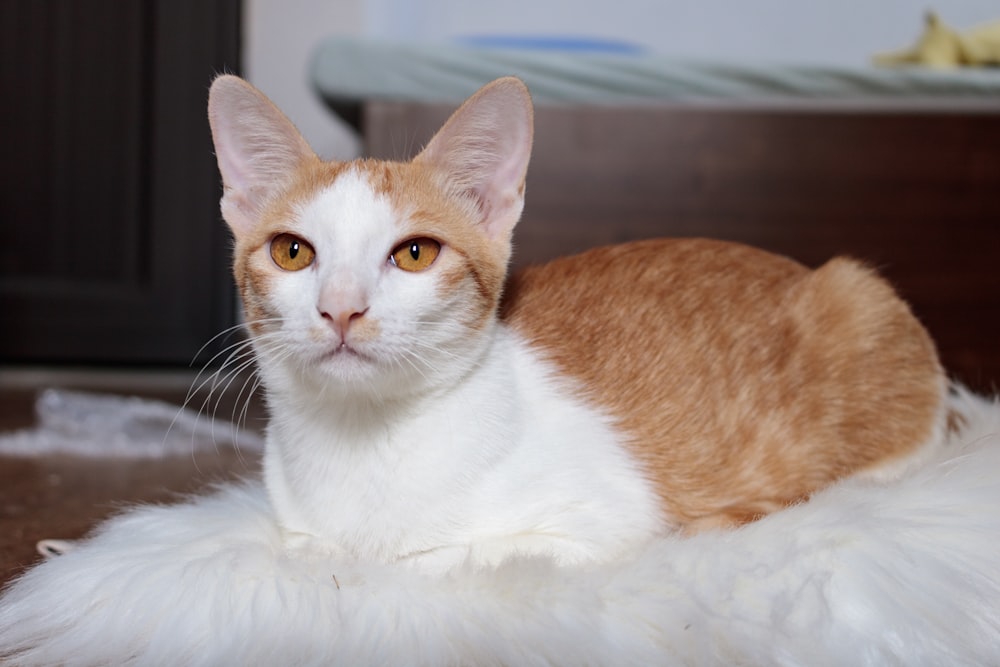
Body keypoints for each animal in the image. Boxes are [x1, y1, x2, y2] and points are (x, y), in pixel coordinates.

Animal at [205, 74, 944, 576]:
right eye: (292, 251)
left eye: (414, 253)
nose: (341, 306)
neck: (364, 444)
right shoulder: (295, 528)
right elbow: (307, 547)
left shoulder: (594, 530)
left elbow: (428, 557)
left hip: (860, 300)